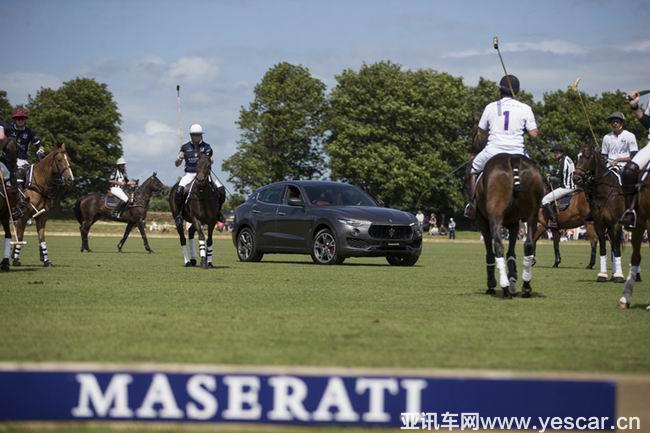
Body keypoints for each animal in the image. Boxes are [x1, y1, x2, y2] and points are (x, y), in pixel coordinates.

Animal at [468, 154, 544, 298]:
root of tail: (513, 158)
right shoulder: (514, 223)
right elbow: (511, 253)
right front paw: (513, 279)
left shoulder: (482, 221)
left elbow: (490, 253)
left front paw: (492, 285)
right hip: (533, 214)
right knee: (529, 244)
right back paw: (526, 287)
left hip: (495, 214)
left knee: (498, 245)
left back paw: (504, 287)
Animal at [568, 143, 624, 282]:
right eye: (578, 156)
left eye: (588, 157)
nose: (576, 178)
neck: (604, 193)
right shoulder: (599, 224)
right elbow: (603, 247)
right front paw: (602, 275)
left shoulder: (616, 224)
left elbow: (616, 249)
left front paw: (619, 276)